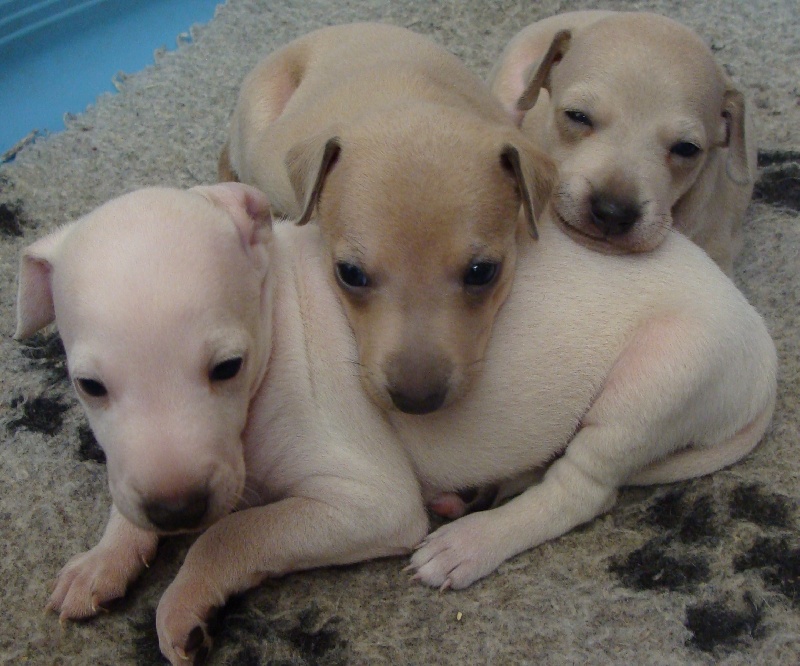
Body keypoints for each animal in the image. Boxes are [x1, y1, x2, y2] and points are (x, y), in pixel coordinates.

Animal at [14, 183, 776, 664]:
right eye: (89, 386)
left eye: (227, 367)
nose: (174, 508)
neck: (273, 316)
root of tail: (758, 344)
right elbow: (129, 498)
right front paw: (104, 558)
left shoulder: (366, 500)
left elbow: (233, 531)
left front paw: (185, 602)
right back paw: (477, 492)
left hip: (658, 375)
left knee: (580, 487)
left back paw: (472, 540)